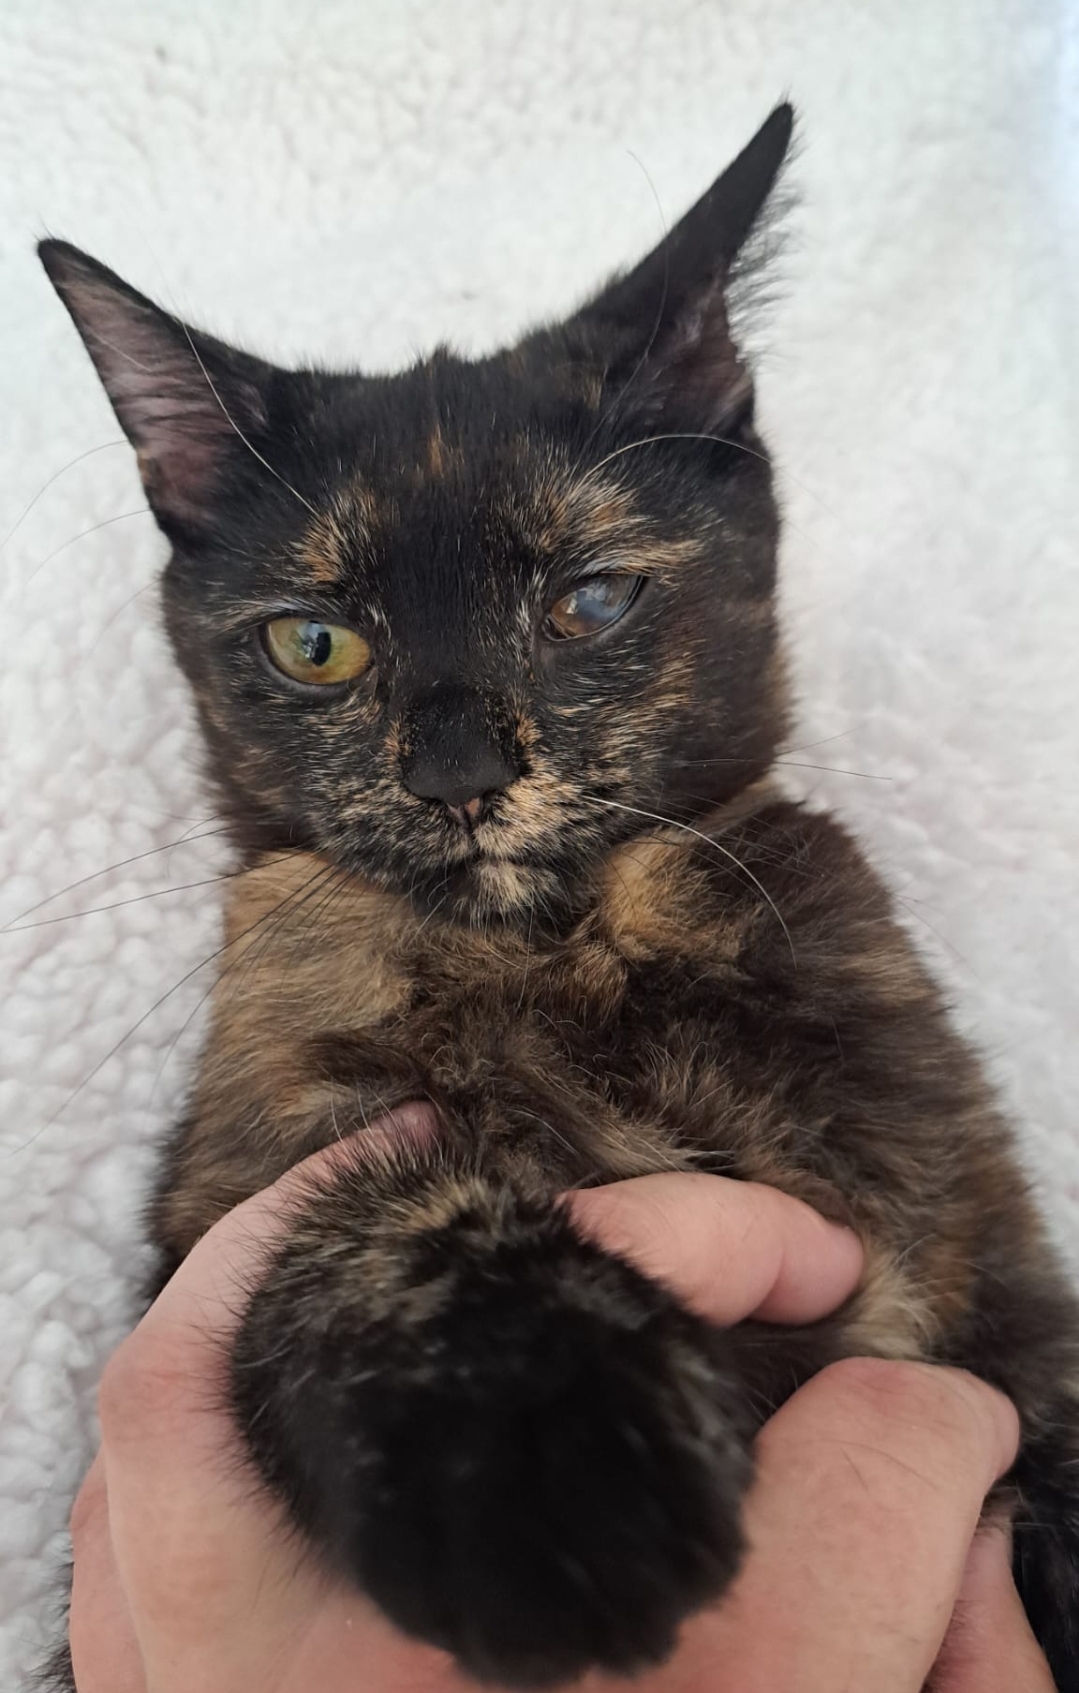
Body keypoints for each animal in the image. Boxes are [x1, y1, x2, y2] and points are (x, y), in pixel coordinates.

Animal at [38, 103, 1079, 1689]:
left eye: (587, 601)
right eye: (314, 643)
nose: (458, 771)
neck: (565, 949)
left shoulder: (978, 1250)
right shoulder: (232, 1187)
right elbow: (374, 1222)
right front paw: (550, 1458)